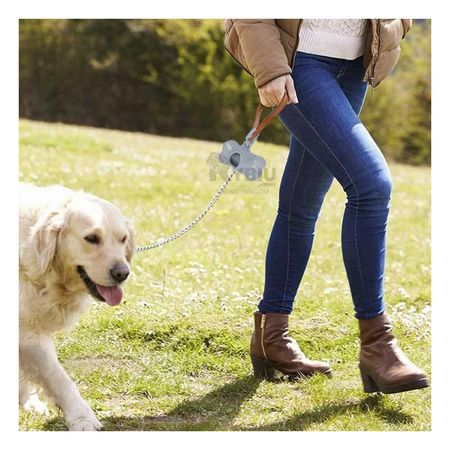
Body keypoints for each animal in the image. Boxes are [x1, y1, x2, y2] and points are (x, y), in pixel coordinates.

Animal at [19, 185, 135, 430]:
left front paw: (28, 402)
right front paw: (83, 418)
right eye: (91, 238)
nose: (123, 273)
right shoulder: (29, 333)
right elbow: (60, 378)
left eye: (123, 239)